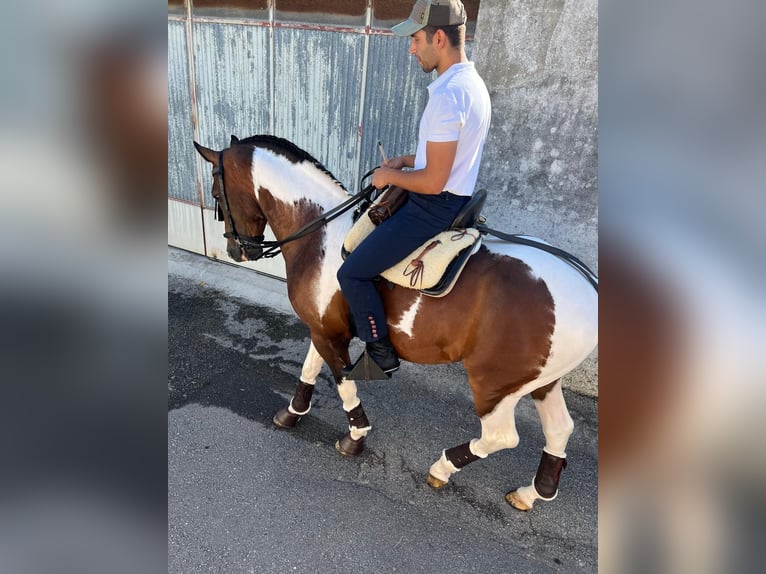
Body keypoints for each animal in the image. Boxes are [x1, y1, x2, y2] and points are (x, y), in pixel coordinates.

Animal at [193, 135, 598, 510]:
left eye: (216, 194)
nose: (236, 250)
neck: (322, 235)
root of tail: (590, 288)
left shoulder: (330, 335)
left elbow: (342, 382)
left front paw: (355, 436)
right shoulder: (324, 328)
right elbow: (309, 367)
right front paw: (293, 412)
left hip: (495, 385)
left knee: (501, 437)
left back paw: (442, 467)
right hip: (541, 382)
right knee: (559, 430)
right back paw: (533, 492)